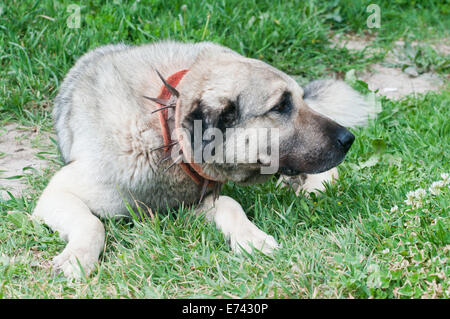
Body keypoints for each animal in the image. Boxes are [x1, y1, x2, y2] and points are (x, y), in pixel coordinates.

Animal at [31, 40, 378, 280]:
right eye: (280, 106)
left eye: (299, 100)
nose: (348, 139)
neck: (164, 133)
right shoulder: (58, 194)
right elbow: (92, 223)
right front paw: (77, 258)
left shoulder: (201, 197)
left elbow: (230, 204)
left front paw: (250, 238)